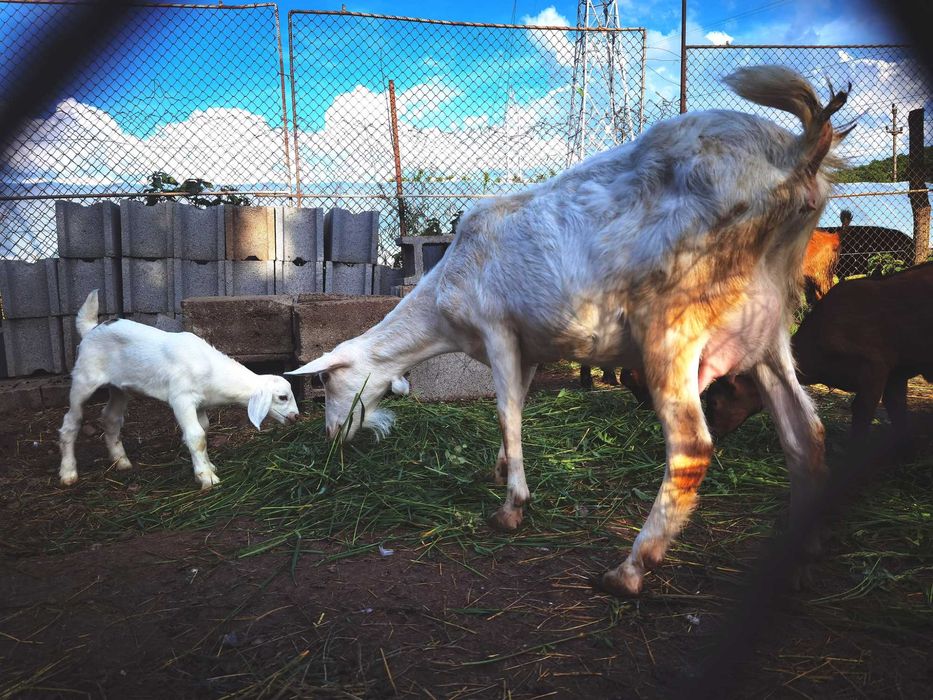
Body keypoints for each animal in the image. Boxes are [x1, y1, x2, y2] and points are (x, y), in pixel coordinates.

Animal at [59, 290, 300, 490]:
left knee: (111, 418)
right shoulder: (181, 399)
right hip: (84, 378)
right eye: (282, 397)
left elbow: (204, 429)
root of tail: (91, 329)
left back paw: (122, 461)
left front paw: (208, 466)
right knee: (71, 422)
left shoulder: (200, 403)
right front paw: (207, 478)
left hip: (119, 387)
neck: (210, 370)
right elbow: (196, 436)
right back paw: (68, 473)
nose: (296, 417)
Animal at [289, 66, 853, 596]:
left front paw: (511, 508)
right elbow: (516, 408)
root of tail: (800, 155)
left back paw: (630, 569)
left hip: (674, 324)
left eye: (326, 380)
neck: (444, 294)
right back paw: (802, 560)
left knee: (692, 447)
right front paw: (501, 471)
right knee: (807, 436)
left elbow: (505, 413)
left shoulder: (497, 330)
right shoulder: (530, 346)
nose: (331, 438)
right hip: (768, 331)